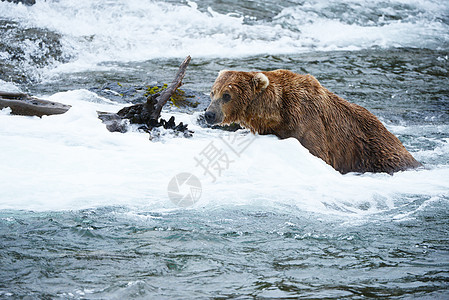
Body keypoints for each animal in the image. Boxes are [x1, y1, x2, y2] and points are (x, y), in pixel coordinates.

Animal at [205, 69, 422, 175]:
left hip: (375, 151)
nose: (209, 114)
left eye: (227, 95)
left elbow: (317, 152)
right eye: (213, 92)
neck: (276, 111)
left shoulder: (307, 121)